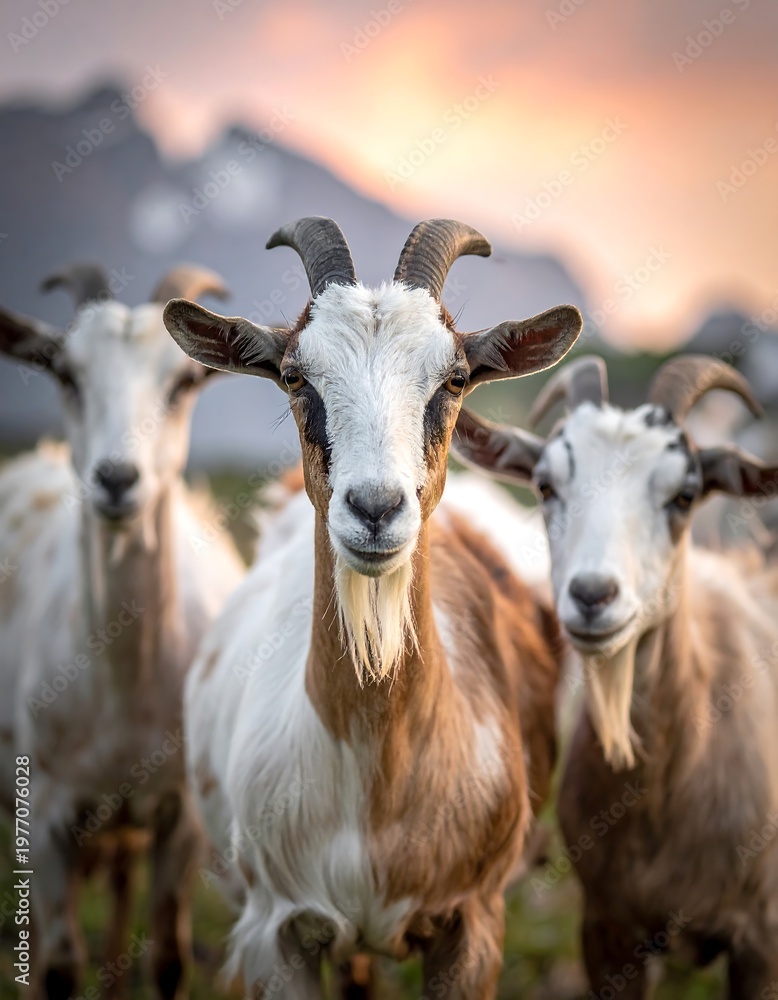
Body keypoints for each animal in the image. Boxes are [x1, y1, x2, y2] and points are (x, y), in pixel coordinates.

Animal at [0, 265, 245, 1000]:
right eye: (65, 373)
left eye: (183, 382)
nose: (115, 478)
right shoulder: (47, 812)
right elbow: (56, 966)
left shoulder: (179, 815)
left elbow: (166, 958)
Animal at [162, 216, 582, 999]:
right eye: (296, 376)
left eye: (455, 379)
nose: (377, 509)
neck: (377, 772)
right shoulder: (279, 933)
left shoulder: (472, 925)